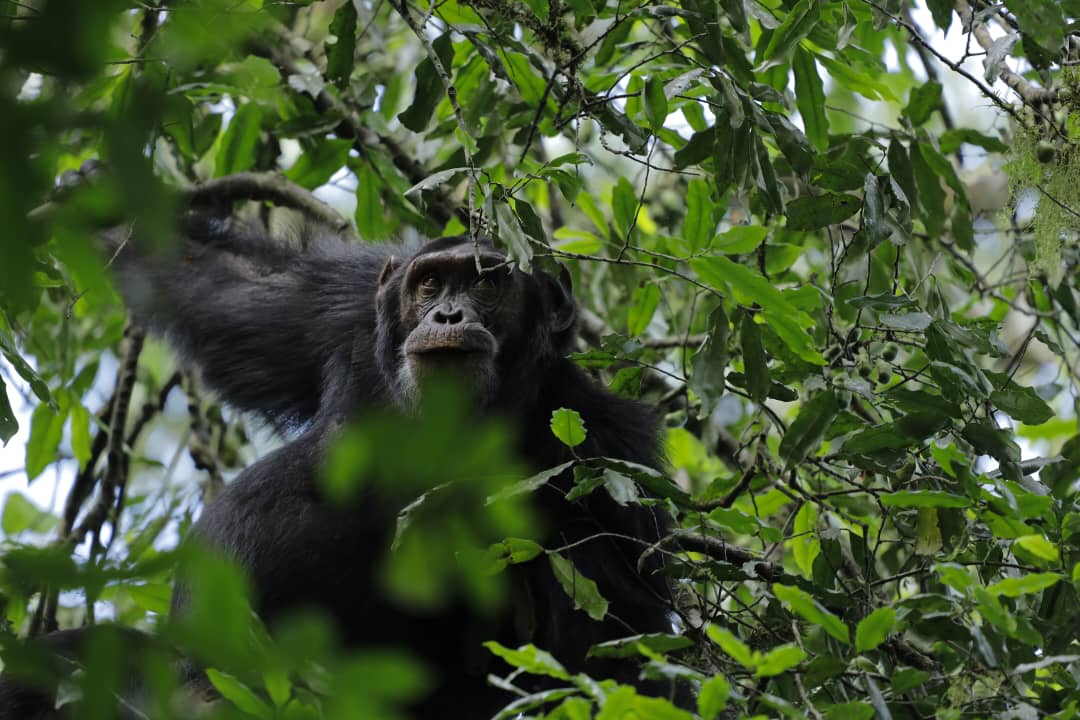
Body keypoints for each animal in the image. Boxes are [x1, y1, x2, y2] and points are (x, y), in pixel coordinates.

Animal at [0, 213, 678, 716]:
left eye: (488, 284)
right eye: (430, 284)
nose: (448, 315)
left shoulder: (614, 453)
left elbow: (624, 638)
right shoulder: (342, 308)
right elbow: (222, 278)